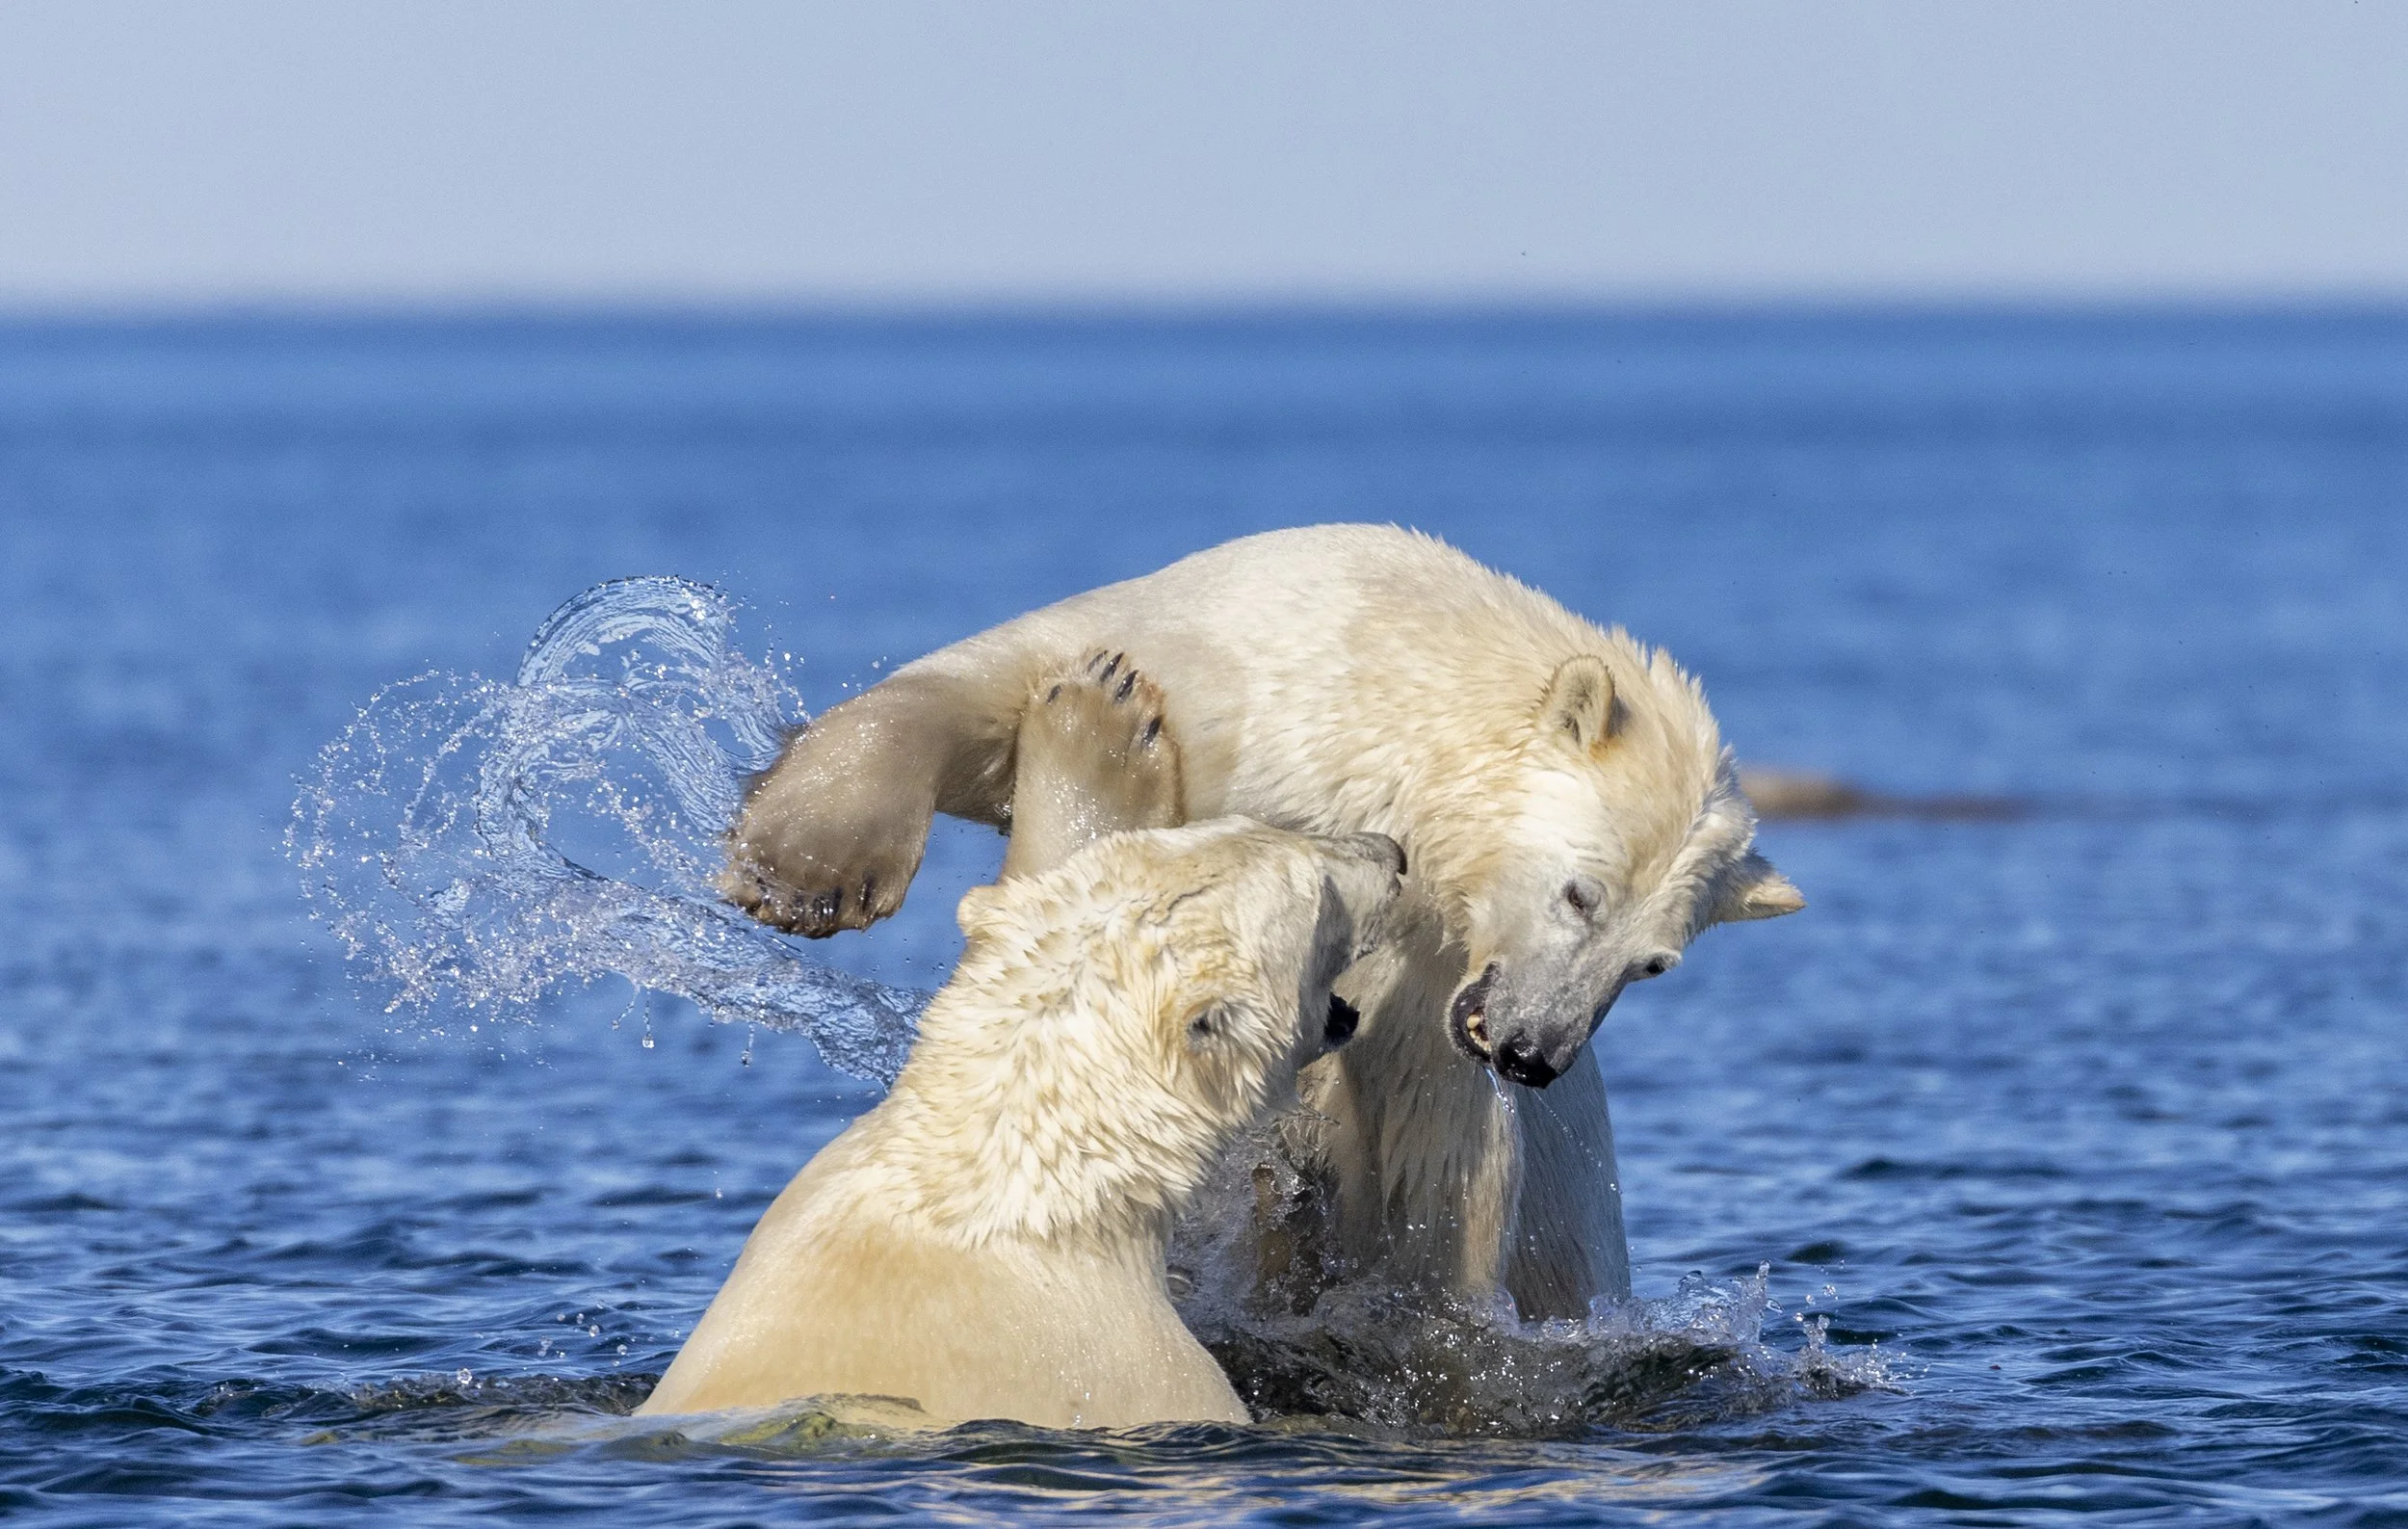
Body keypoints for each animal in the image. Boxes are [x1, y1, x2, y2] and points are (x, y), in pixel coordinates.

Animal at [721, 524, 1803, 1319]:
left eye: (1654, 964)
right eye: (1581, 893)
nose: (1535, 1052)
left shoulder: (1432, 984)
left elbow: (1430, 1167)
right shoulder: (1249, 660)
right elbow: (997, 684)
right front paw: (805, 869)